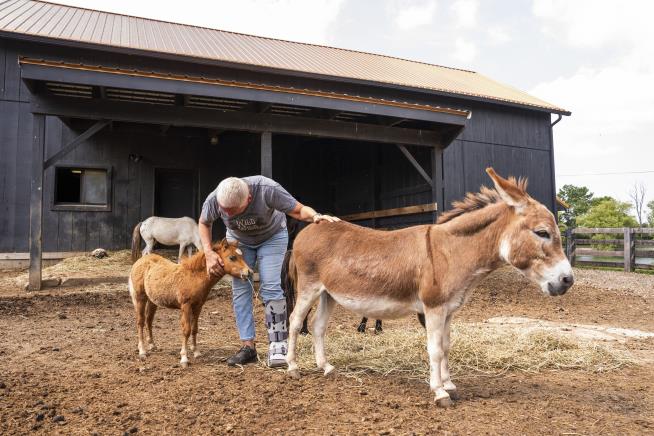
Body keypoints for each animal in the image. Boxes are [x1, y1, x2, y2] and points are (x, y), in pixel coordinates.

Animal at [288, 169, 576, 408]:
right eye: (542, 233)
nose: (568, 280)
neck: (450, 252)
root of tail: (312, 227)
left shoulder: (449, 309)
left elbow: (446, 346)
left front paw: (450, 385)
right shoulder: (434, 308)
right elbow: (435, 349)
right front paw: (439, 392)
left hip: (329, 294)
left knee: (317, 326)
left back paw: (326, 367)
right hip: (309, 287)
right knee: (295, 321)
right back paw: (292, 367)